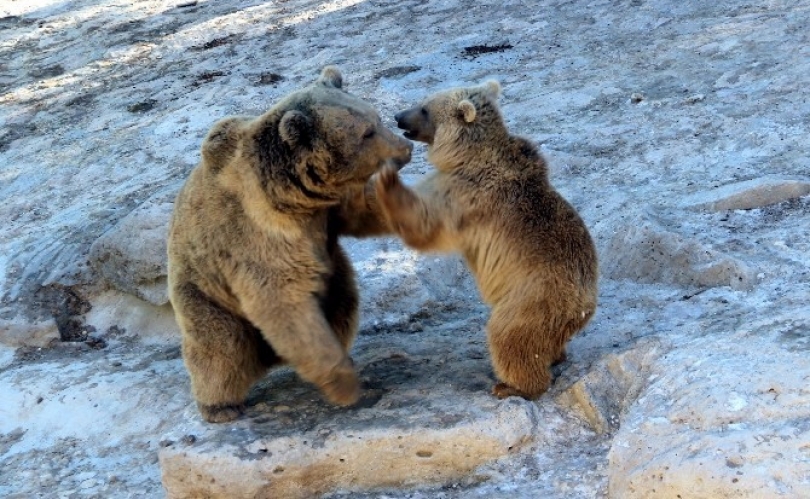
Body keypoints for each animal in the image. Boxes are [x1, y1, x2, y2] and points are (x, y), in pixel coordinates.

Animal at [169, 68, 410, 424]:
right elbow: (283, 303)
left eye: (376, 118)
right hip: (203, 292)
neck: (293, 198)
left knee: (343, 304)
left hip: (333, 279)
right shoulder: (257, 236)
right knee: (220, 344)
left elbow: (362, 210)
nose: (405, 147)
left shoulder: (327, 210)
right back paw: (221, 406)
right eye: (366, 132)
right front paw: (345, 385)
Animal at [376, 83, 596, 402]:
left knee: (509, 338)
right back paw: (555, 357)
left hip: (530, 299)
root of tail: (584, 305)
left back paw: (511, 385)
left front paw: (386, 179)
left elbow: (425, 225)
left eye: (425, 108)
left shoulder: (464, 194)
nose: (398, 116)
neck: (467, 154)